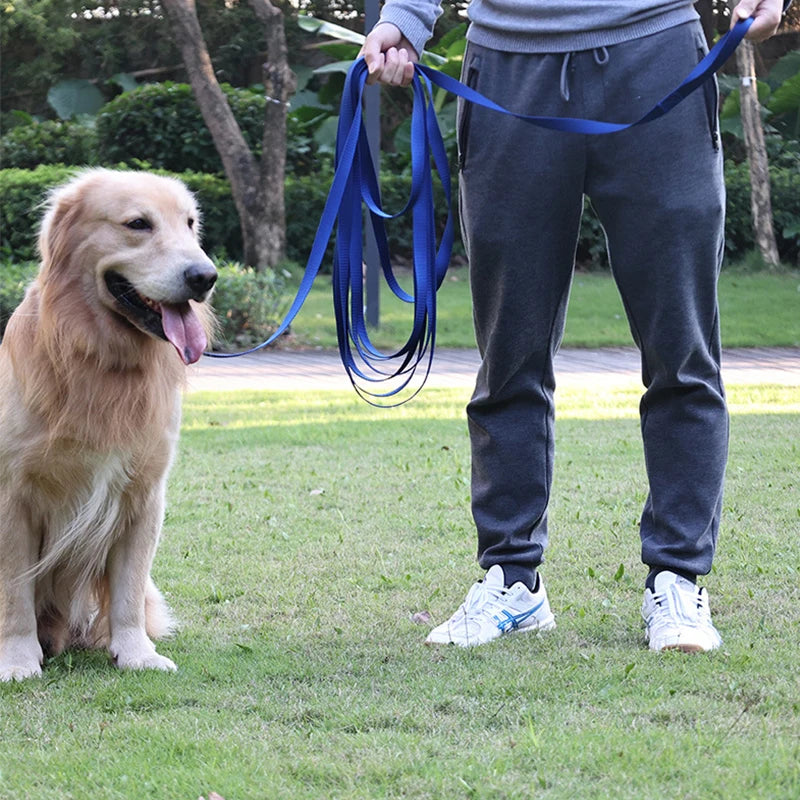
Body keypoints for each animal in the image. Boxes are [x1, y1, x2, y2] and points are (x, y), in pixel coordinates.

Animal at [0, 170, 217, 680]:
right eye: (138, 224)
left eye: (190, 223)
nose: (205, 277)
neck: (102, 361)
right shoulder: (13, 498)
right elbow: (14, 596)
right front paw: (17, 659)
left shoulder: (144, 495)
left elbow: (128, 592)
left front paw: (136, 653)